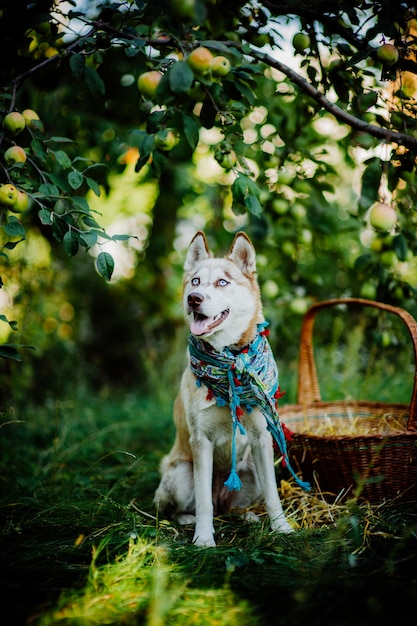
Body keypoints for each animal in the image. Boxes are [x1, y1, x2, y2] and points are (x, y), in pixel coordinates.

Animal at [154, 230, 296, 544]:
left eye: (222, 282)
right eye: (195, 281)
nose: (194, 299)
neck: (230, 362)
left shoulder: (261, 438)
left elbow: (273, 495)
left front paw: (282, 527)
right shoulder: (201, 442)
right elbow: (204, 502)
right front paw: (204, 539)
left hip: (250, 470)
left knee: (232, 506)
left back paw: (247, 516)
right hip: (181, 473)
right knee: (184, 506)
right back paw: (187, 519)